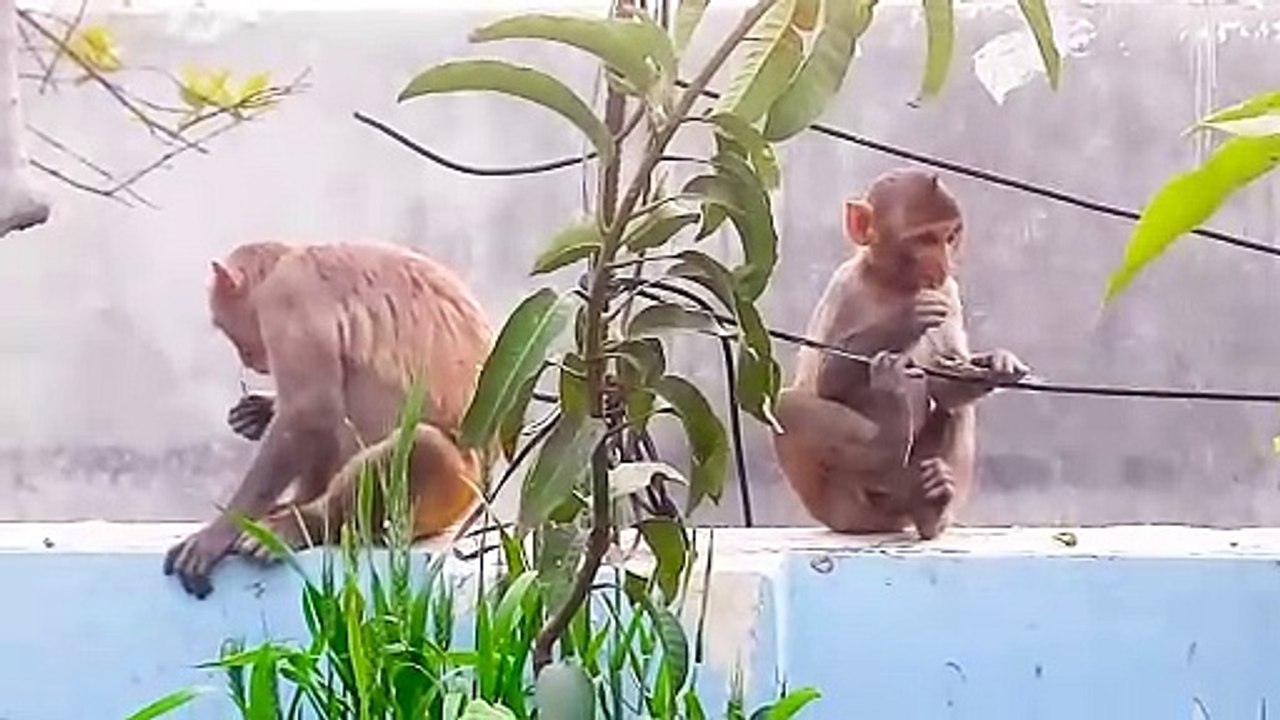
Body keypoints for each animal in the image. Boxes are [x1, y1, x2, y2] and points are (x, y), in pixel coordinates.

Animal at [164, 240, 494, 598]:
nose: (247, 358)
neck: (287, 259)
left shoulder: (288, 298)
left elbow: (310, 412)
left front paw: (217, 535)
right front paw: (262, 412)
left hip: (454, 491)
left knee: (423, 445)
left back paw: (304, 522)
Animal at [770, 167, 1029, 540]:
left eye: (949, 236)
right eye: (924, 239)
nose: (943, 263)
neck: (892, 284)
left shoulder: (947, 291)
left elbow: (947, 383)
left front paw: (996, 363)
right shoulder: (844, 285)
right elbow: (826, 379)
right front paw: (908, 319)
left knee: (952, 408)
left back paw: (932, 506)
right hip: (838, 506)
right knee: (786, 405)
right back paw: (886, 444)